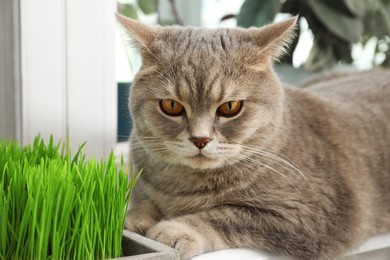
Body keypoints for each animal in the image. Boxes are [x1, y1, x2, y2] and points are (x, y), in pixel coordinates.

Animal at [116, 14, 390, 260]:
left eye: (230, 107)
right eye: (171, 105)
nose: (200, 139)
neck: (183, 186)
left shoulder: (309, 215)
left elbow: (225, 216)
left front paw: (174, 230)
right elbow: (142, 200)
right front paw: (136, 218)